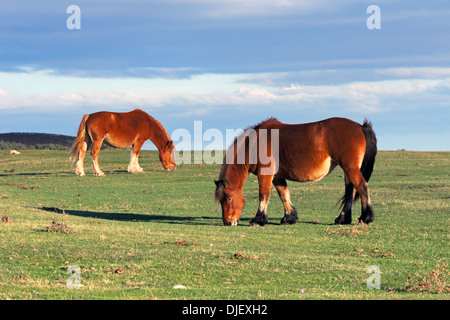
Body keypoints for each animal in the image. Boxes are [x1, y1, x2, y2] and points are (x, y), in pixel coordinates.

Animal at [214, 117, 376, 225]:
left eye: (228, 199)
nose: (228, 222)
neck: (255, 144)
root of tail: (360, 126)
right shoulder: (277, 176)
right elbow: (284, 194)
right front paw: (289, 217)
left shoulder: (265, 174)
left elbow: (263, 195)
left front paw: (258, 220)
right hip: (348, 170)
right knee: (351, 192)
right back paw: (342, 219)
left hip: (350, 168)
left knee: (361, 187)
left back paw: (365, 218)